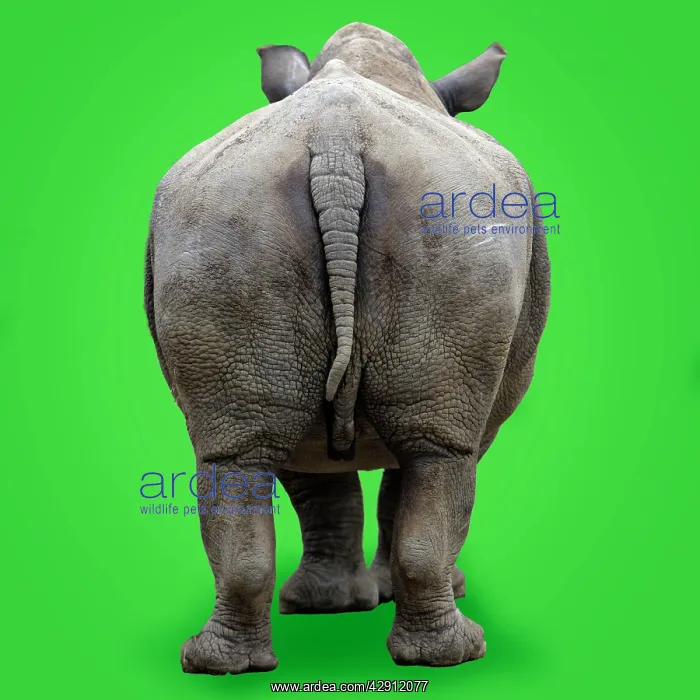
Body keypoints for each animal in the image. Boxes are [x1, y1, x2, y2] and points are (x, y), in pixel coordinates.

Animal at [144, 22, 551, 674]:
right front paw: (359, 600)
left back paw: (221, 664)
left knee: (237, 452)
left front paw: (331, 605)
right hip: (442, 213)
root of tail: (335, 142)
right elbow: (384, 481)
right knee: (439, 453)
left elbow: (318, 480)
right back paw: (457, 654)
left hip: (223, 221)